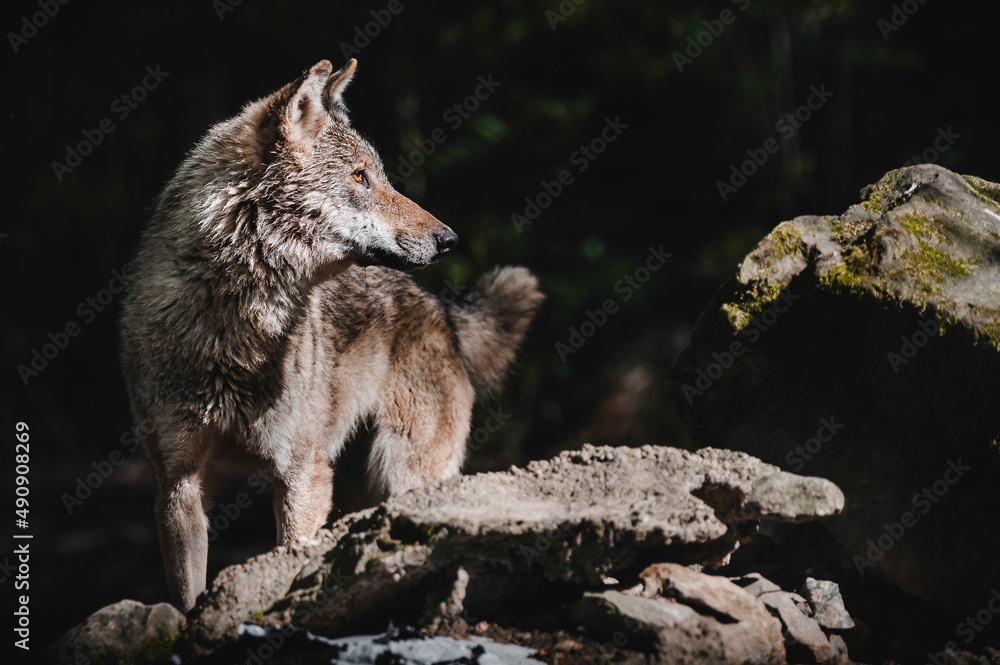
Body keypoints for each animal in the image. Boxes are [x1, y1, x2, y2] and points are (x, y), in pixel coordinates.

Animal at [120, 59, 542, 611]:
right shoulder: (177, 485)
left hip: (405, 475)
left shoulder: (302, 474)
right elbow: (188, 598)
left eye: (378, 174)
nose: (449, 239)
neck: (232, 328)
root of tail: (444, 312)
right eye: (360, 177)